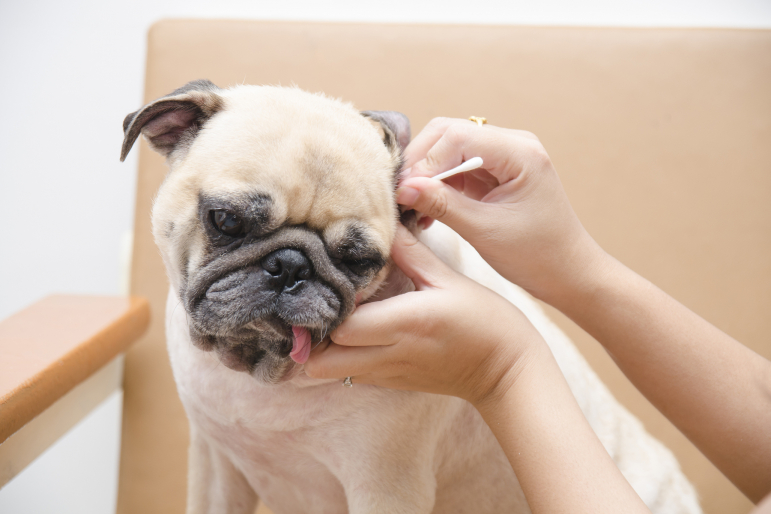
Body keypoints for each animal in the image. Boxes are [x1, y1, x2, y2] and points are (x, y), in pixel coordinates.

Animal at [119, 81, 700, 512]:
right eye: (226, 220)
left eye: (357, 260)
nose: (289, 267)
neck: (261, 377)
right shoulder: (215, 466)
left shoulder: (384, 485)